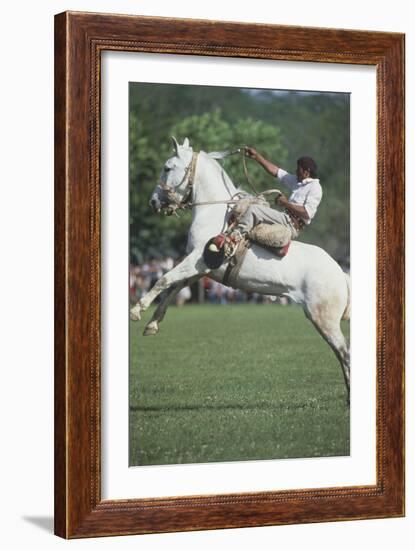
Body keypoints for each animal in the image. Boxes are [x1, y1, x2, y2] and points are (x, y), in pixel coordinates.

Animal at [131, 138, 352, 396]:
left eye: (167, 167)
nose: (154, 202)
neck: (214, 214)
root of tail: (341, 274)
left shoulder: (197, 260)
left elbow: (164, 279)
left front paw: (136, 310)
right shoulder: (203, 269)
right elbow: (174, 287)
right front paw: (153, 324)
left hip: (323, 319)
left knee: (345, 353)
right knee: (342, 355)